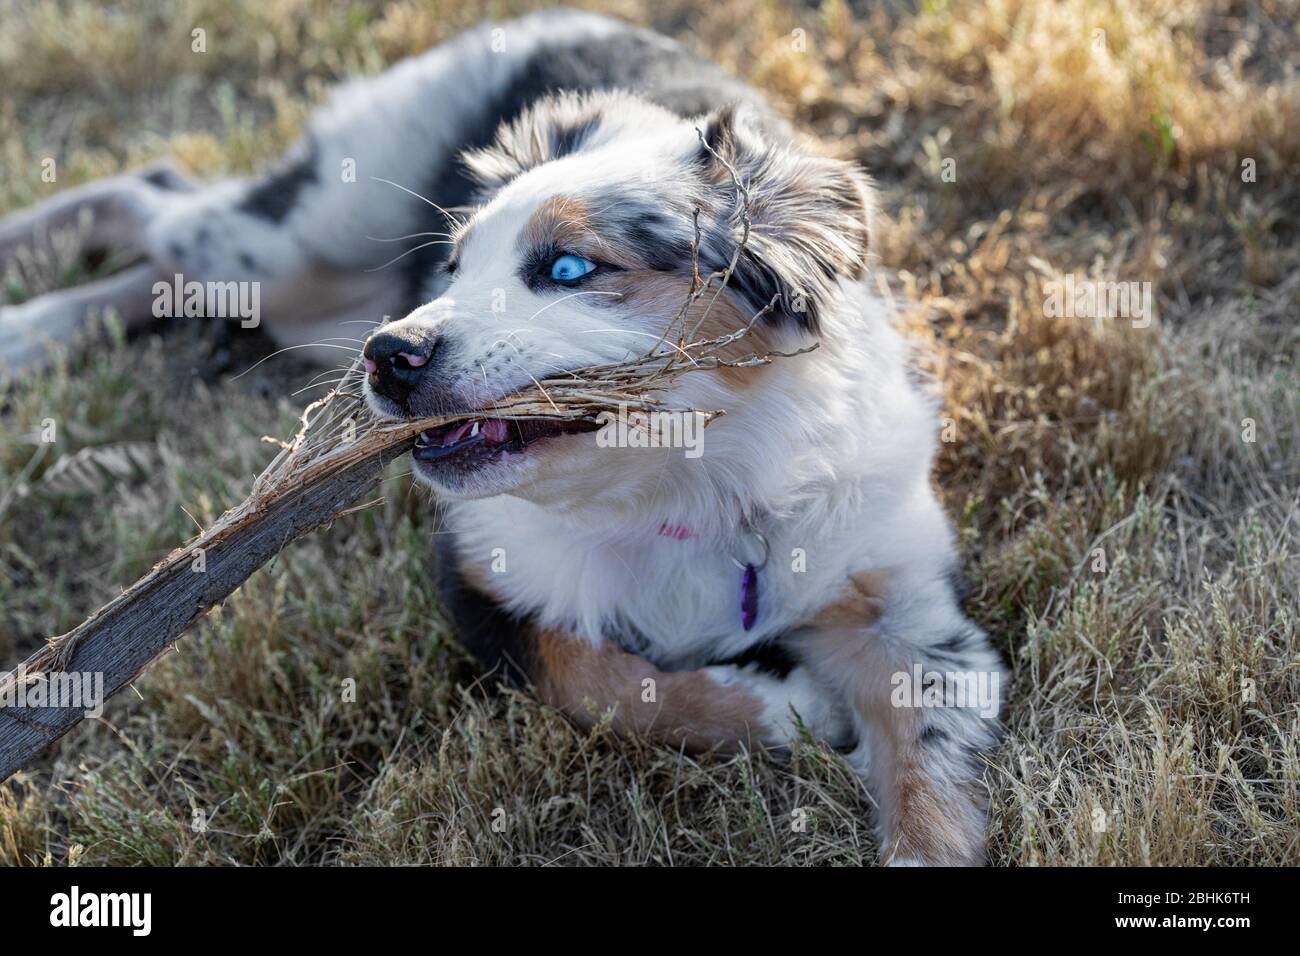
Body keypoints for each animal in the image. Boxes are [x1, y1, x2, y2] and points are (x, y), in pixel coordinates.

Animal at [0, 7, 1003, 868]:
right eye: (453, 265)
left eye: (567, 268)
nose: (388, 358)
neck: (690, 488)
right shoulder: (477, 578)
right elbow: (594, 677)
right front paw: (788, 707)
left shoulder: (905, 606)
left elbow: (931, 765)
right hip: (305, 225)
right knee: (156, 191)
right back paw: (27, 313)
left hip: (307, 292)